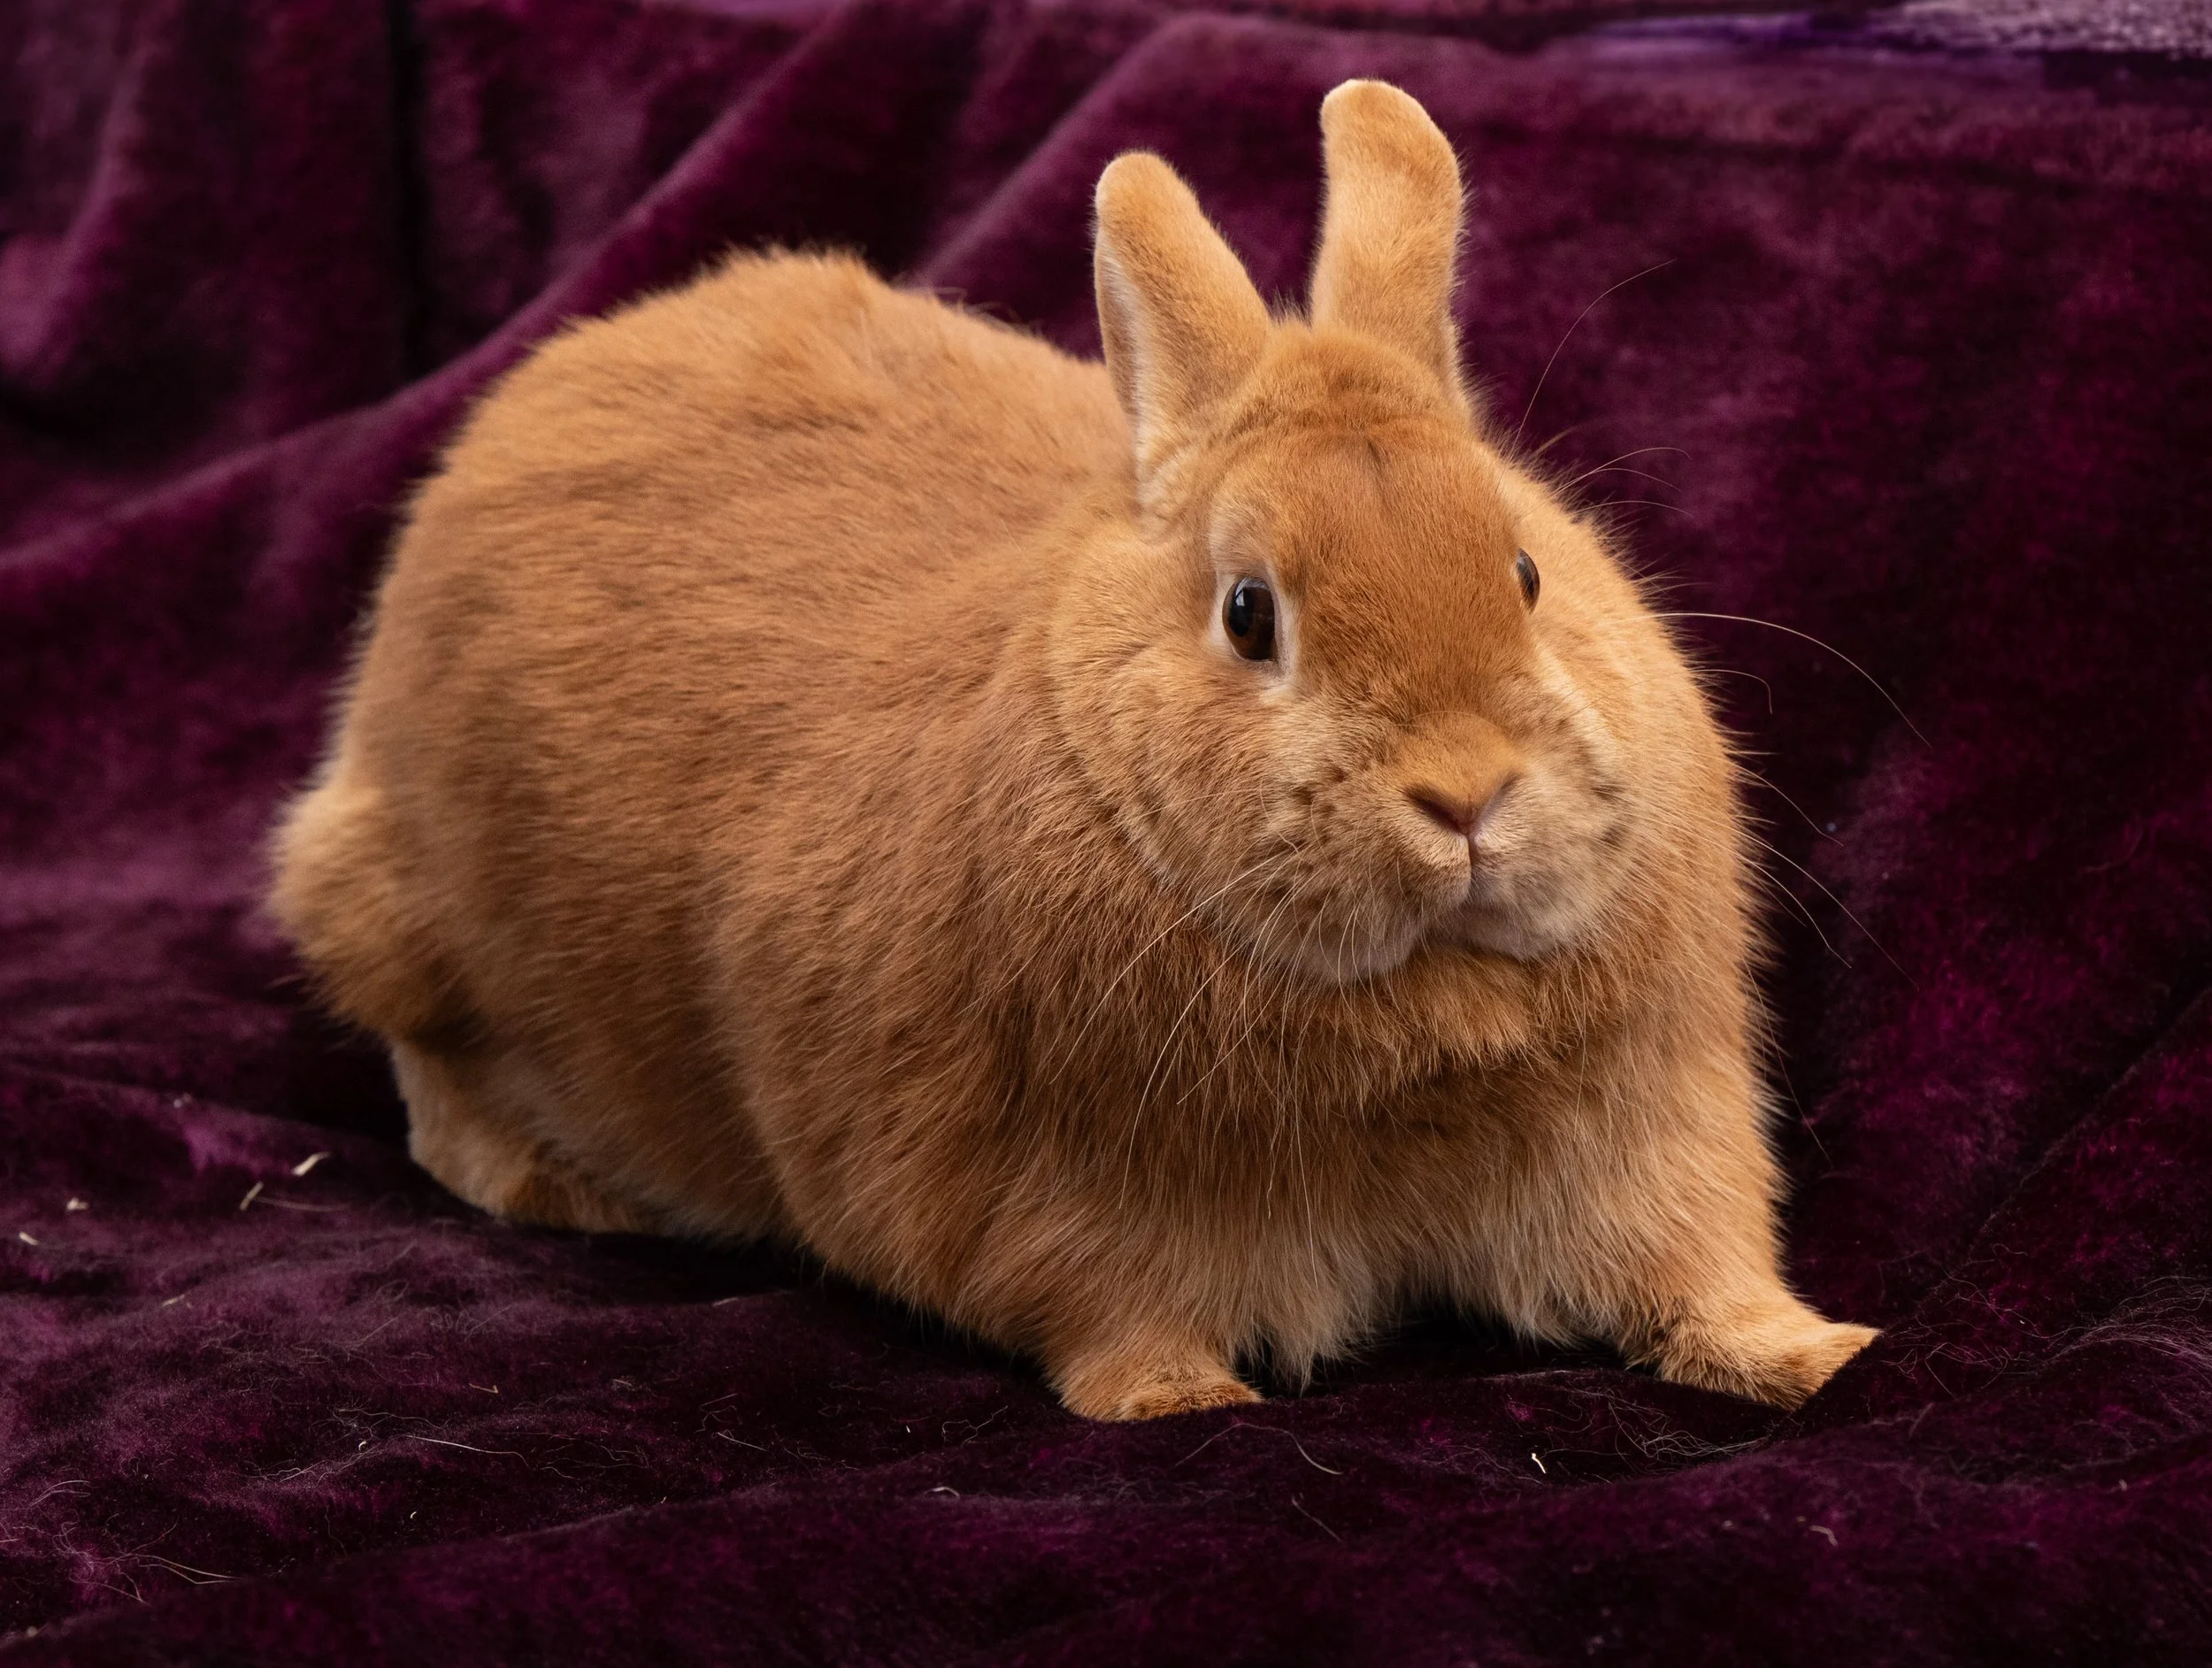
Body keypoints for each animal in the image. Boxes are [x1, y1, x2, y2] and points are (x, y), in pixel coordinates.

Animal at [270, 79, 1877, 1419]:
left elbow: (1689, 1266)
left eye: (1528, 570)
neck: (1420, 1009)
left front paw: (1813, 1356)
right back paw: (562, 1189)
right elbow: (1107, 1316)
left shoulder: (1651, 1140)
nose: (1470, 793)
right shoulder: (1057, 1197)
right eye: (1249, 613)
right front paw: (1181, 1400)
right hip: (399, 924)